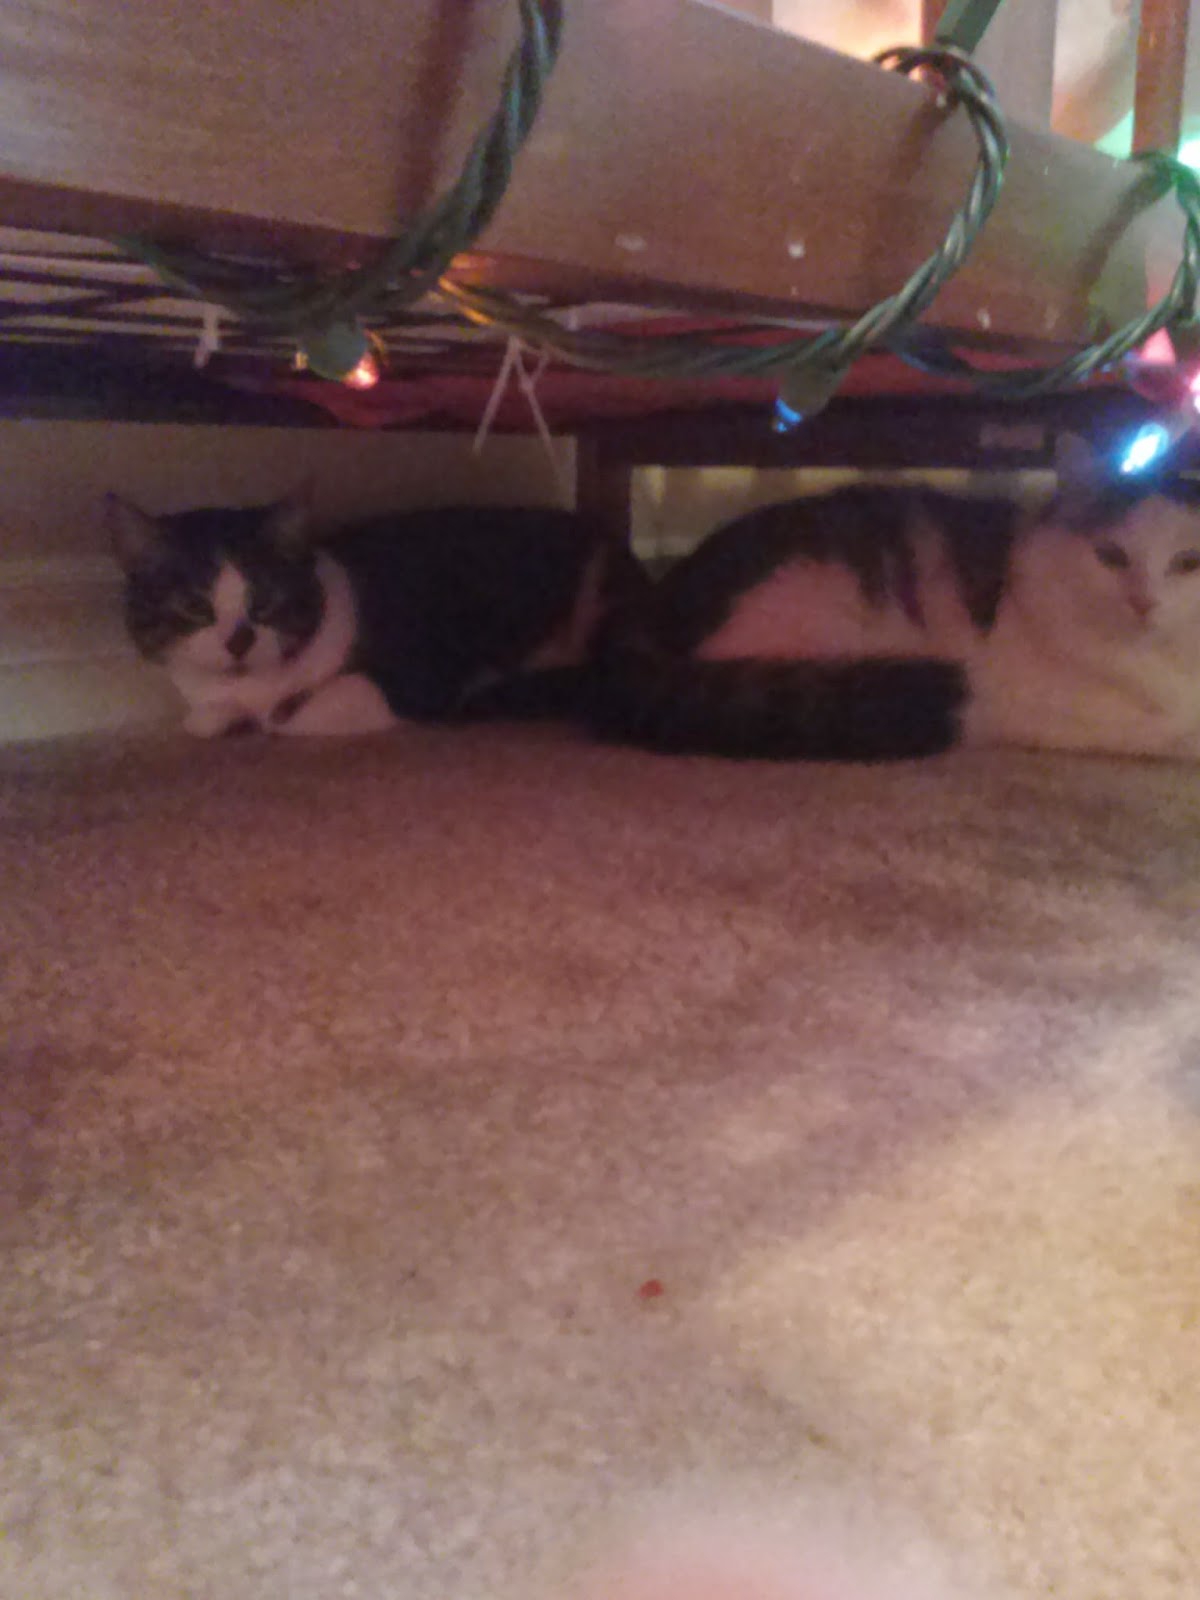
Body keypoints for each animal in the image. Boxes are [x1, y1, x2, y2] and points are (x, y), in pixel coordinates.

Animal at [108, 489, 642, 737]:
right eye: (193, 606)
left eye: (266, 600)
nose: (239, 639)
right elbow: (200, 720)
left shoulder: (416, 679)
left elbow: (294, 717)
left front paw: (269, 718)